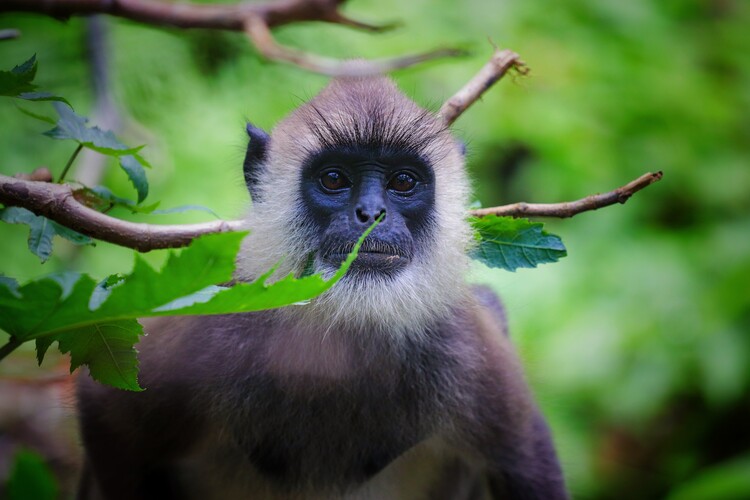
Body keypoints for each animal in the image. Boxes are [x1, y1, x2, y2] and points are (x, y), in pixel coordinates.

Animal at [75, 75, 568, 500]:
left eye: (403, 182)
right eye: (334, 179)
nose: (370, 214)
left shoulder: (465, 350)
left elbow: (525, 460)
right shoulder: (210, 329)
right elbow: (107, 411)